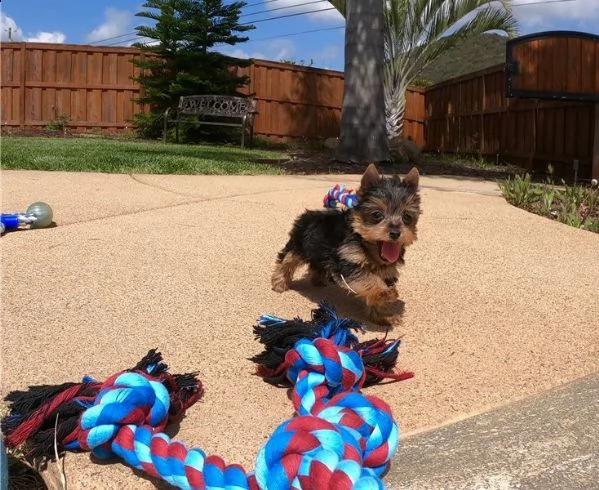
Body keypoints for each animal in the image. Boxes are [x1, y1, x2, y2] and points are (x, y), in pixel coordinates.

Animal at [272, 163, 422, 328]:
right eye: (377, 215)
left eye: (407, 217)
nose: (395, 233)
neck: (367, 247)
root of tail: (308, 214)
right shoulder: (348, 259)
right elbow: (367, 278)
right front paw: (384, 292)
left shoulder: (387, 270)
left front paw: (383, 314)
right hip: (299, 244)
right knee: (286, 259)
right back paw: (279, 283)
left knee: (317, 263)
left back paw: (317, 280)